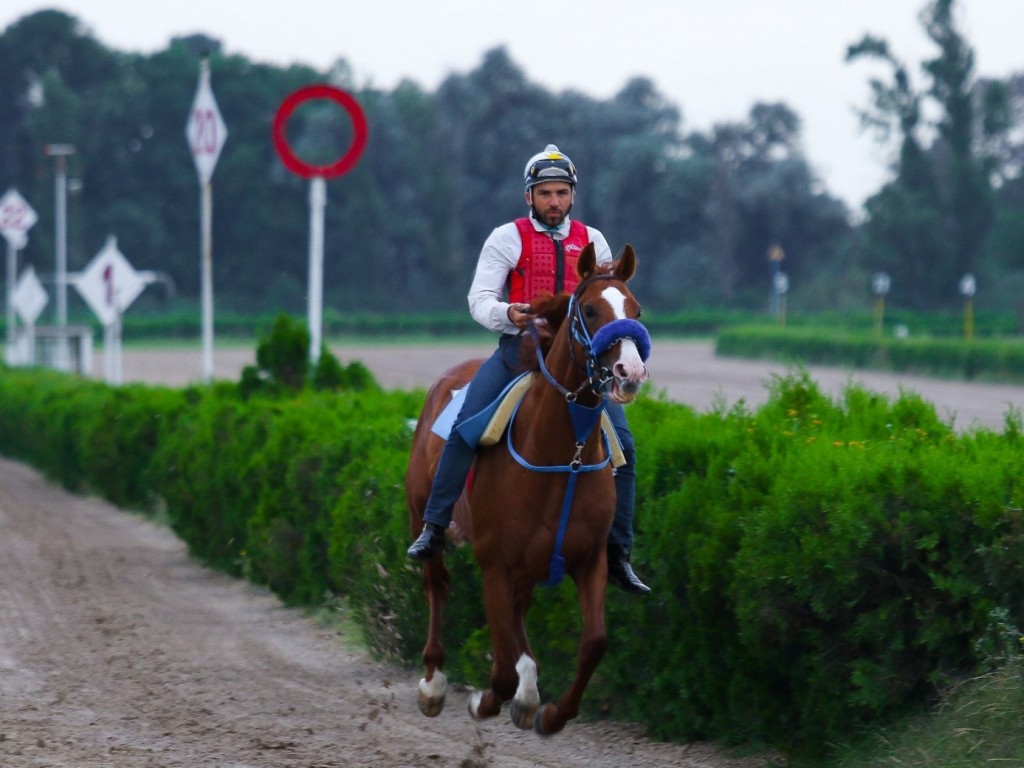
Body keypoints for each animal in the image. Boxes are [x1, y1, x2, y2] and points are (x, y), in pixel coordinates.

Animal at [401, 243, 647, 737]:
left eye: (635, 310)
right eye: (591, 310)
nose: (630, 371)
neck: (565, 455)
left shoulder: (589, 559)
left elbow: (594, 642)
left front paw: (552, 713)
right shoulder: (495, 562)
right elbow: (500, 664)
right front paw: (487, 700)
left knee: (517, 616)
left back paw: (528, 692)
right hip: (422, 513)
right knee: (437, 583)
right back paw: (434, 684)